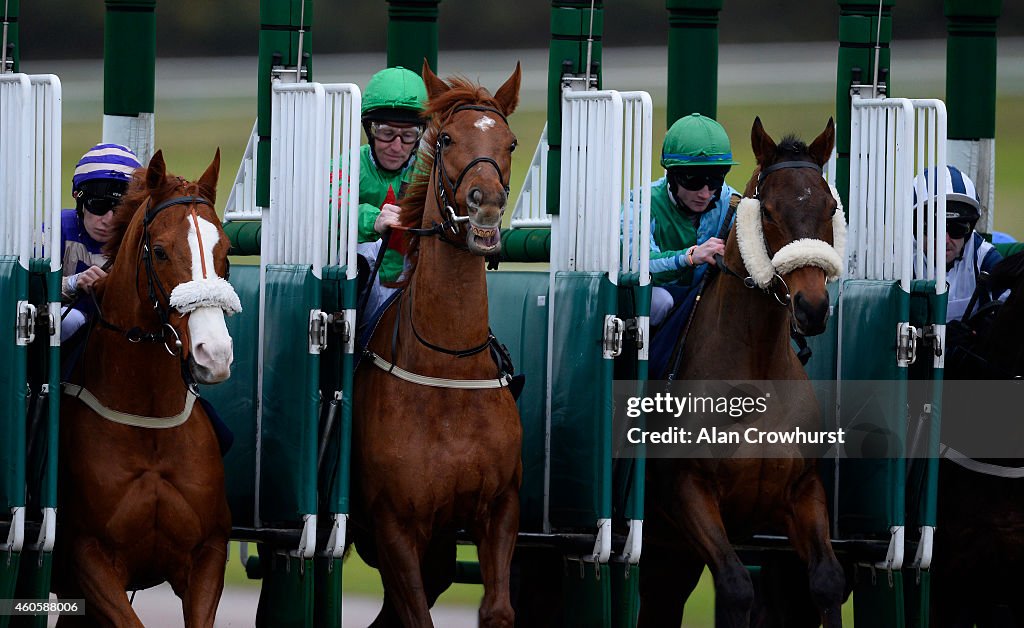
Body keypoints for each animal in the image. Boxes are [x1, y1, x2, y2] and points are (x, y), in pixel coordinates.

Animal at [354, 61, 528, 622]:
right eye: (447, 137)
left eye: (510, 142)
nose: (486, 204)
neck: (448, 366)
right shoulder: (394, 526)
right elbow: (416, 615)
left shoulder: (499, 508)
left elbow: (498, 610)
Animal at [638, 118, 847, 626]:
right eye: (768, 212)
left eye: (831, 207)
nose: (812, 308)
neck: (758, 372)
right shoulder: (688, 490)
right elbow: (735, 586)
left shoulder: (802, 490)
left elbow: (828, 581)